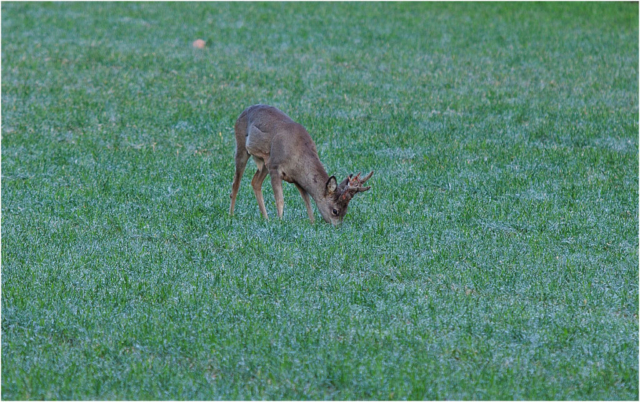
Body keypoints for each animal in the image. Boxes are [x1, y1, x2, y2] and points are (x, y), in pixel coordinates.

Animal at [230, 104, 372, 226]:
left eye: (346, 211)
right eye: (335, 211)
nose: (337, 227)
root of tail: (244, 111)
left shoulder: (296, 178)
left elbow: (307, 201)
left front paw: (312, 222)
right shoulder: (275, 166)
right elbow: (280, 200)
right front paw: (280, 221)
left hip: (265, 163)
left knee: (255, 182)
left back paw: (266, 218)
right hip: (242, 146)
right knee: (236, 183)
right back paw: (231, 216)